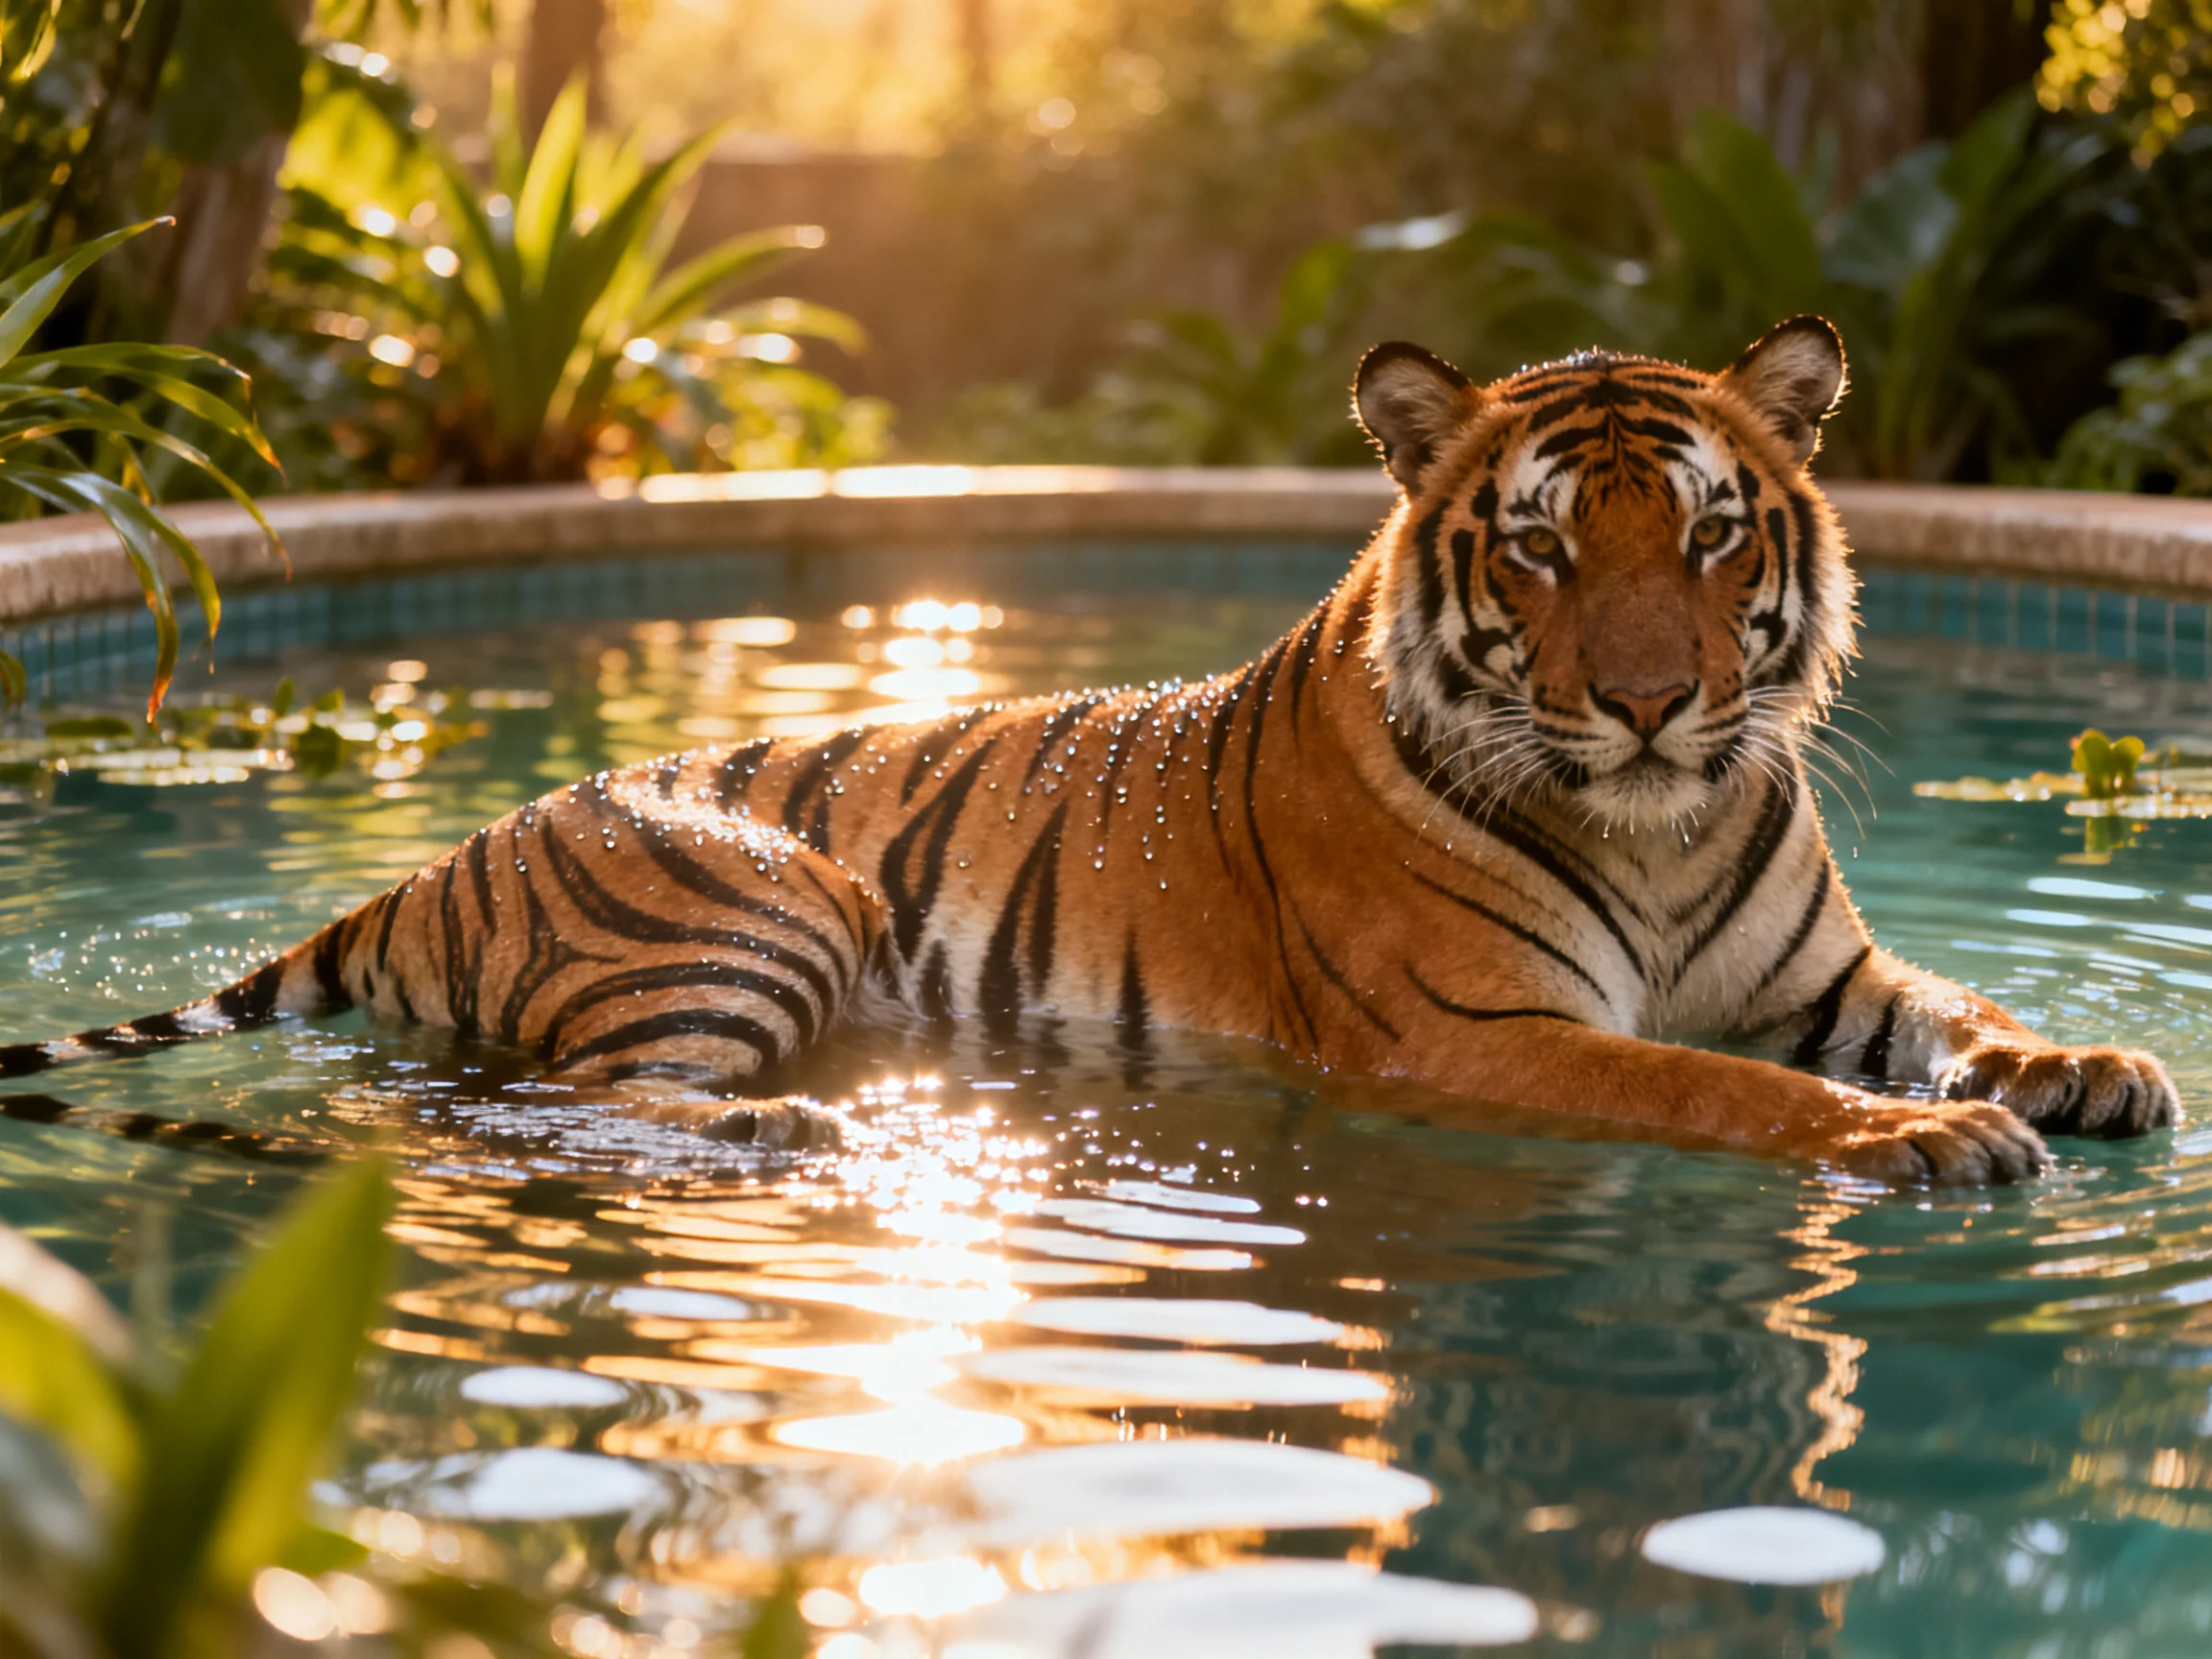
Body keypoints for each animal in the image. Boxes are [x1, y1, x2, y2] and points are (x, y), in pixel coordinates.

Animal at [0, 315, 2180, 1183]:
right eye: (1545, 545)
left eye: (1715, 534)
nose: (1652, 701)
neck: (1654, 819)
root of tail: (426, 861)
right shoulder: (1479, 1033)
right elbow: (1715, 1089)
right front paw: (1916, 1143)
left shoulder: (1830, 972)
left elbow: (1956, 1009)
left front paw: (2085, 1066)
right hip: (766, 899)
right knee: (550, 1098)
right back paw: (788, 1134)